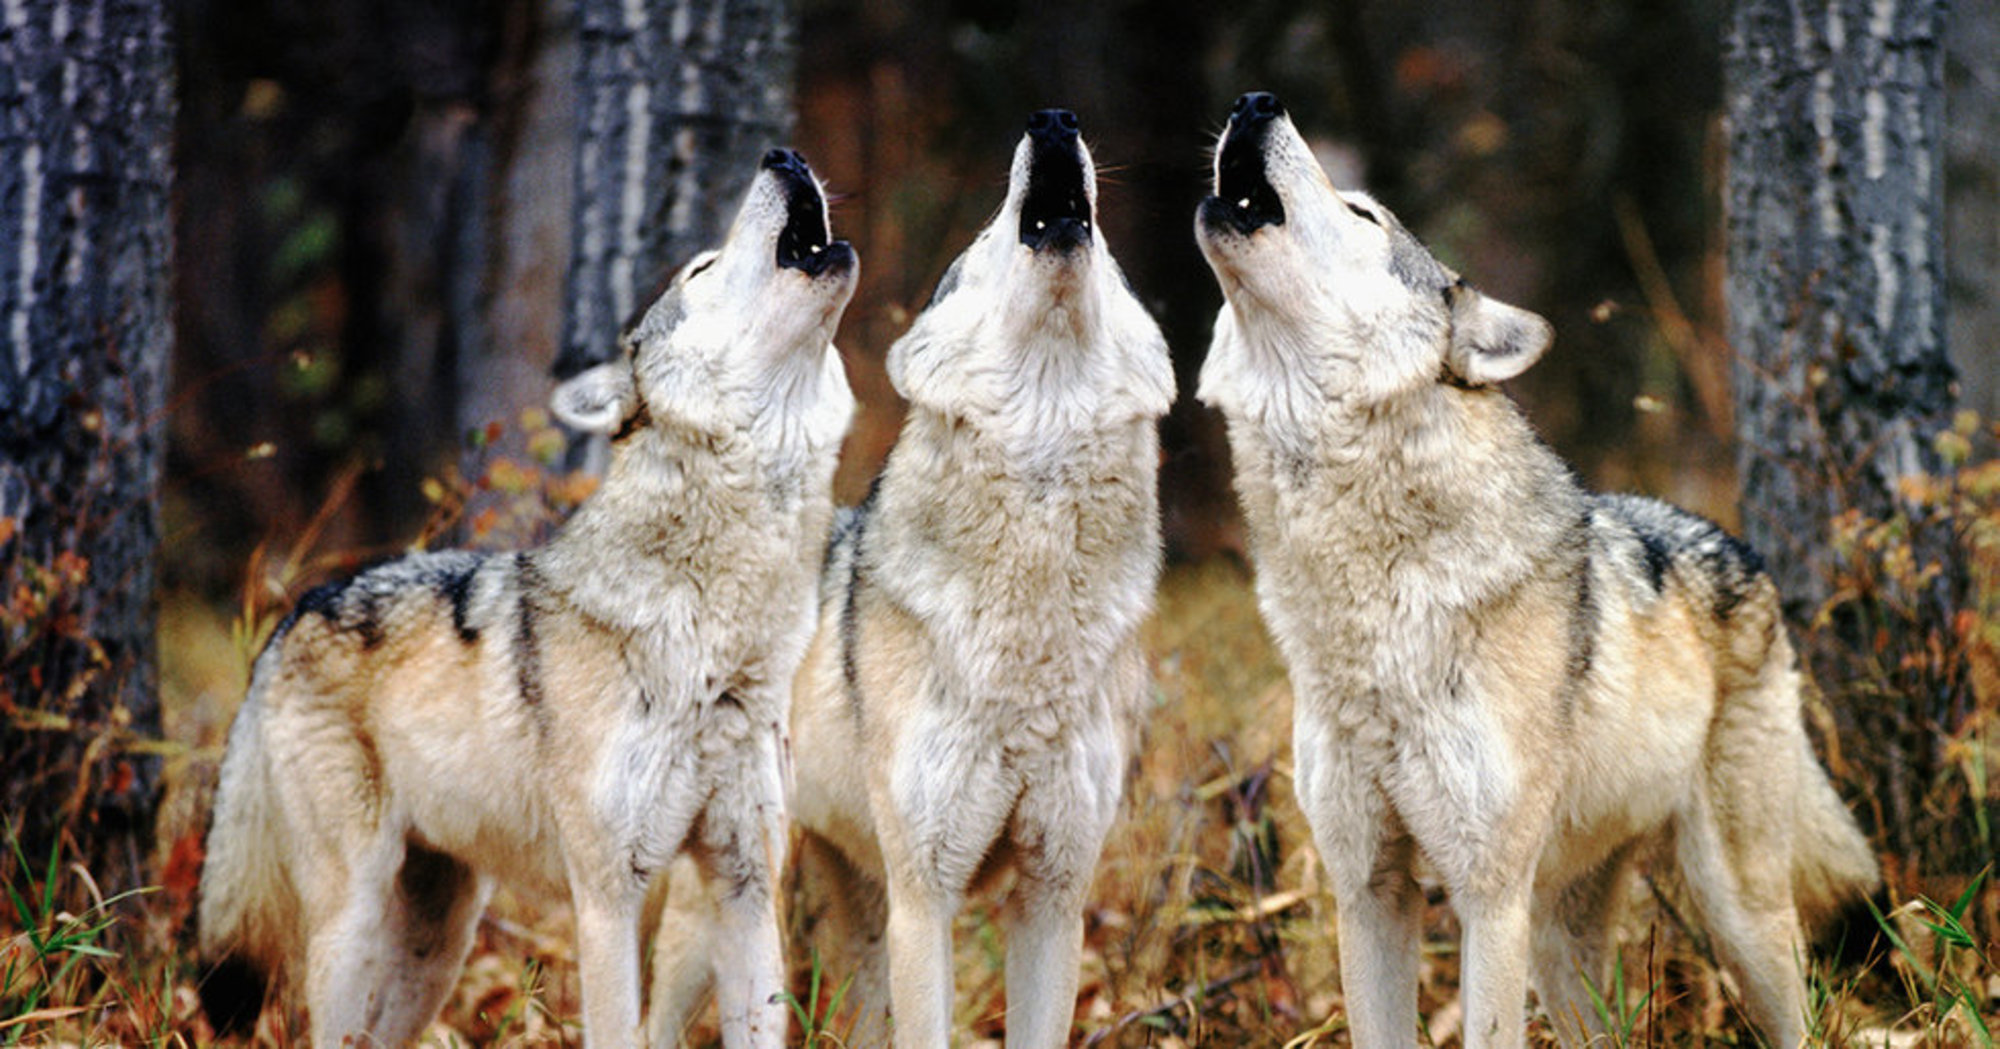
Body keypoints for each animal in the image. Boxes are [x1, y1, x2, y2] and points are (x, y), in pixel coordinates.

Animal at [197, 149, 860, 1049]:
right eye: (702, 267)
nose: (784, 157)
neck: (718, 640)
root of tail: (295, 613)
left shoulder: (745, 886)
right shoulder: (608, 896)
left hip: (437, 944)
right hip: (350, 923)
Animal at [648, 108, 1168, 1049]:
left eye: (1107, 250)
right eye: (989, 232)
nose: (1053, 120)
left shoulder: (1054, 897)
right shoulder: (927, 899)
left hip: (854, 910)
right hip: (723, 916)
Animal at [1192, 92, 1880, 1049]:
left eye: (1363, 213)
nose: (1255, 103)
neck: (1370, 603)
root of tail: (1741, 548)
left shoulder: (1489, 898)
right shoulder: (1367, 892)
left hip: (1737, 917)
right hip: (1565, 944)